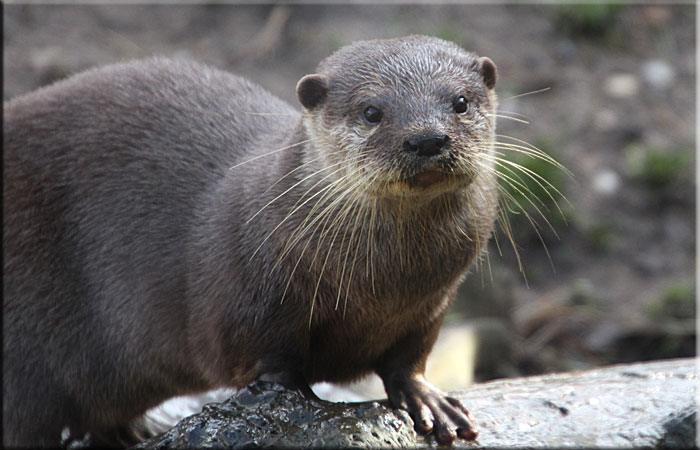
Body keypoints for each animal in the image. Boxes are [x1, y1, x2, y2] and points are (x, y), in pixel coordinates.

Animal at [3, 35, 499, 447]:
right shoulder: (248, 300)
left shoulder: (431, 303)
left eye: (460, 102)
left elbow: (408, 359)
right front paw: (293, 409)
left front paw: (429, 401)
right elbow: (265, 362)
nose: (427, 138)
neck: (381, 287)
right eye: (372, 112)